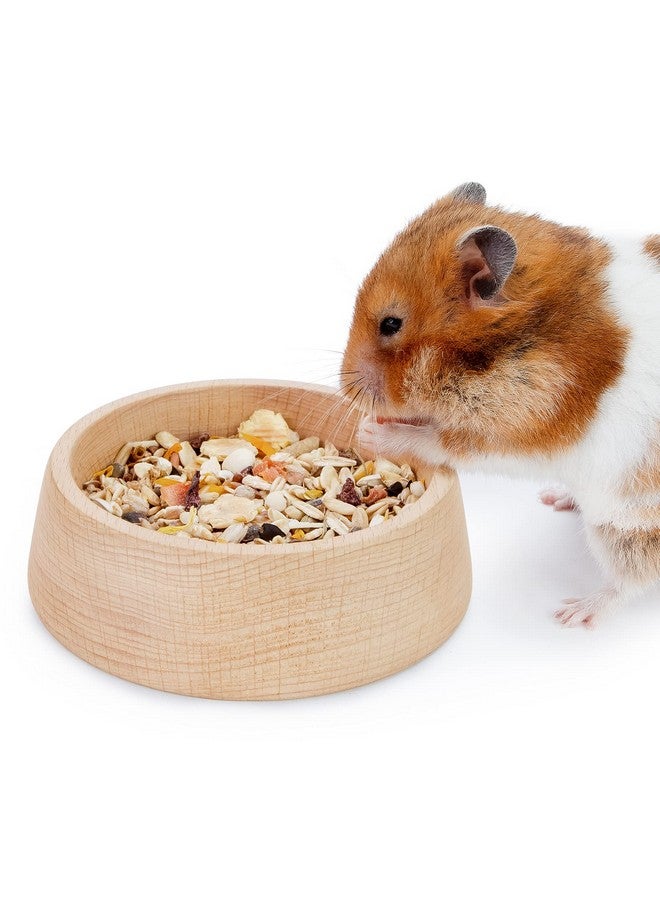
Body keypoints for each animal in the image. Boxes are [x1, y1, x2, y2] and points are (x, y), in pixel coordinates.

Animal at [342, 182, 660, 627]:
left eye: (391, 324)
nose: (344, 389)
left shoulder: (517, 431)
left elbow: (438, 441)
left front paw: (370, 429)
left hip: (629, 525)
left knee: (631, 580)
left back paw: (571, 613)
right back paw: (556, 499)